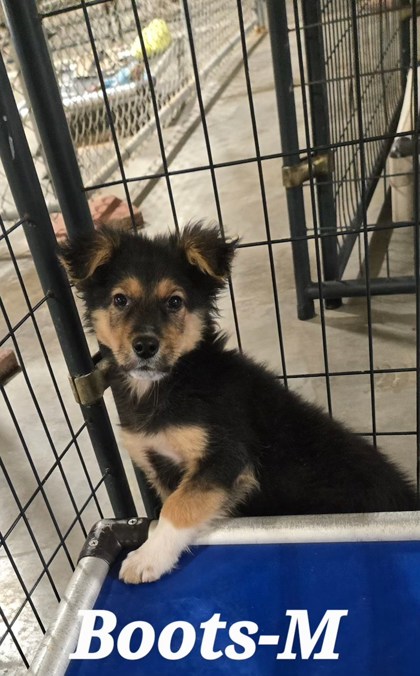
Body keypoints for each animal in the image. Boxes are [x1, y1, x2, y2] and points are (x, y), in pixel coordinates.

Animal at [60, 223, 417, 583]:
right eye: (120, 299)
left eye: (175, 301)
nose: (145, 346)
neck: (167, 385)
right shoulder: (158, 465)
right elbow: (172, 502)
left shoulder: (227, 456)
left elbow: (180, 505)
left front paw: (148, 557)